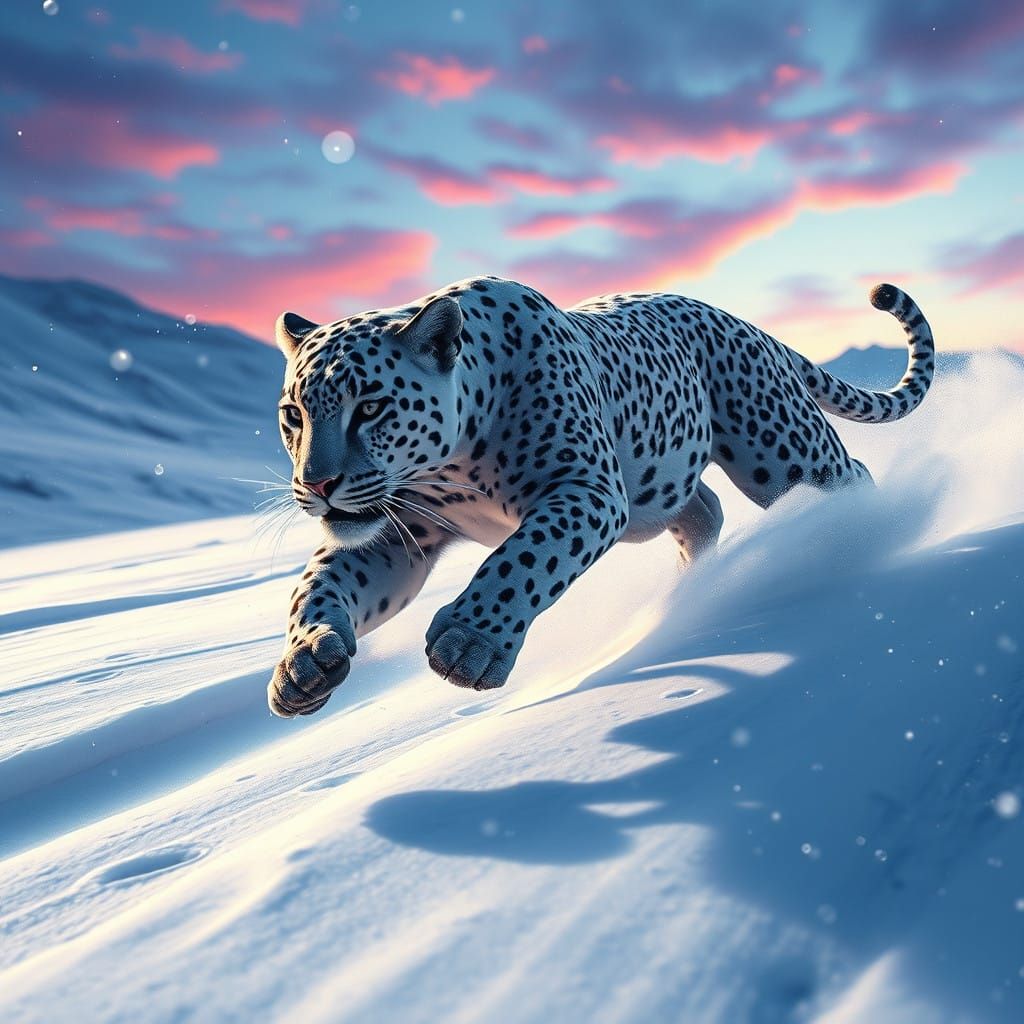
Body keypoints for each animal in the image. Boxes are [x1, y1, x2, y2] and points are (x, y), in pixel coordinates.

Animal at [267, 276, 934, 717]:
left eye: (371, 407)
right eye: (293, 415)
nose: (317, 485)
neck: (448, 466)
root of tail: (744, 322)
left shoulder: (584, 488)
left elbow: (522, 560)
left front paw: (470, 644)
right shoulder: (389, 538)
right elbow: (317, 587)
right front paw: (304, 666)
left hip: (780, 451)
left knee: (849, 478)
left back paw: (877, 533)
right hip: (665, 477)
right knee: (704, 510)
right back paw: (689, 586)